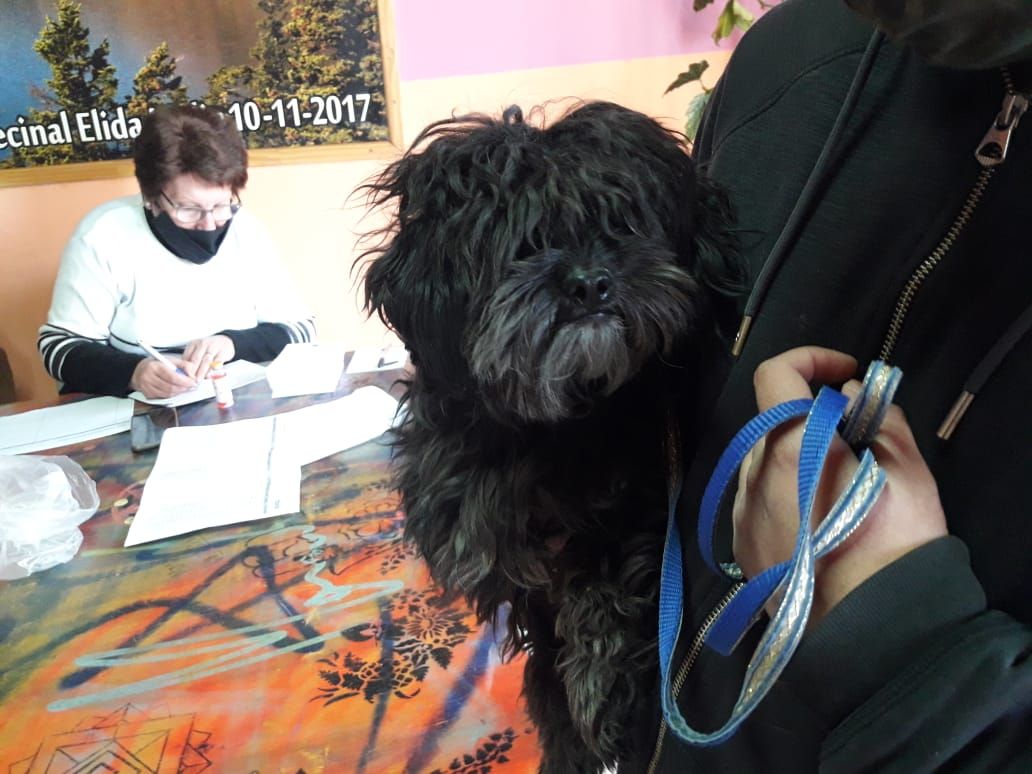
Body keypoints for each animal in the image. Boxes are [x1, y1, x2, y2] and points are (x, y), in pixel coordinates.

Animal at [359, 101, 743, 772]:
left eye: (621, 223)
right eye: (524, 243)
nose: (589, 282)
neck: (541, 427)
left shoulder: (641, 494)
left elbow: (608, 564)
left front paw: (603, 688)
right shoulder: (502, 559)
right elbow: (547, 663)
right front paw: (569, 728)